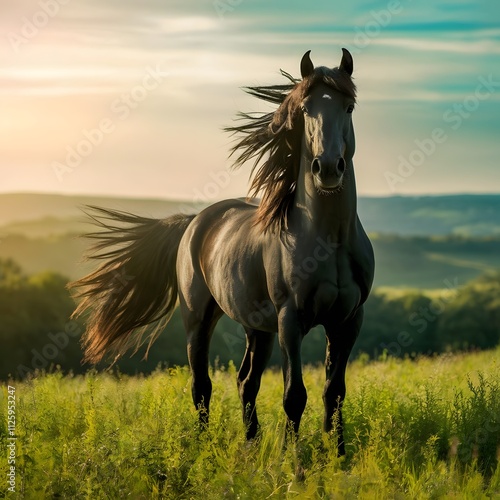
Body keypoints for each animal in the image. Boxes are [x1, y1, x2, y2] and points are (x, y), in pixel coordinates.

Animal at [71, 48, 376, 456]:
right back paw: (204, 448)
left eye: (349, 106)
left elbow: (335, 392)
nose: (327, 168)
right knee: (202, 386)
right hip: (198, 319)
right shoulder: (290, 319)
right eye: (305, 108)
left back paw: (250, 444)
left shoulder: (348, 321)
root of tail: (194, 221)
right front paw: (291, 460)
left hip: (257, 328)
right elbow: (294, 395)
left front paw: (338, 456)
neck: (329, 239)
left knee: (246, 381)